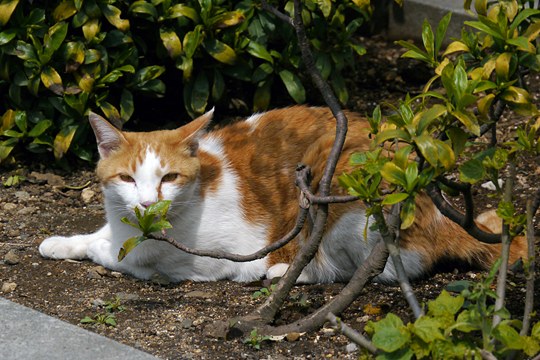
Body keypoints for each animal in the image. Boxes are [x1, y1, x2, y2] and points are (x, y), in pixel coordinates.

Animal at [38, 105, 528, 282]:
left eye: (169, 178)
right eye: (127, 179)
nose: (146, 203)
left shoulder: (209, 259)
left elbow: (121, 257)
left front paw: (103, 250)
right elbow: (100, 236)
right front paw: (61, 242)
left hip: (341, 194)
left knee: (364, 270)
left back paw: (283, 272)